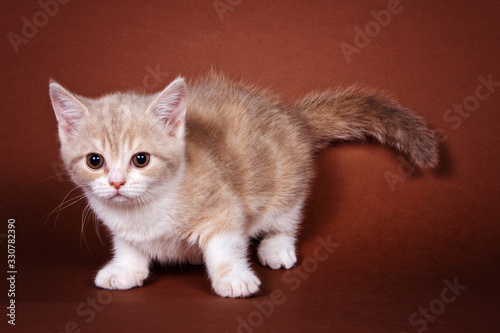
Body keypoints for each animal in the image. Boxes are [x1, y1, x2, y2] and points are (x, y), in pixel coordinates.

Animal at [49, 72, 438, 296]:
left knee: (286, 218)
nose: (116, 183)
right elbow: (129, 247)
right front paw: (125, 270)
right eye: (95, 161)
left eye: (140, 159)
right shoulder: (122, 229)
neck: (146, 210)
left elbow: (225, 245)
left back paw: (276, 247)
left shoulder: (224, 207)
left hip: (285, 183)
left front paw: (233, 279)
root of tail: (291, 116)